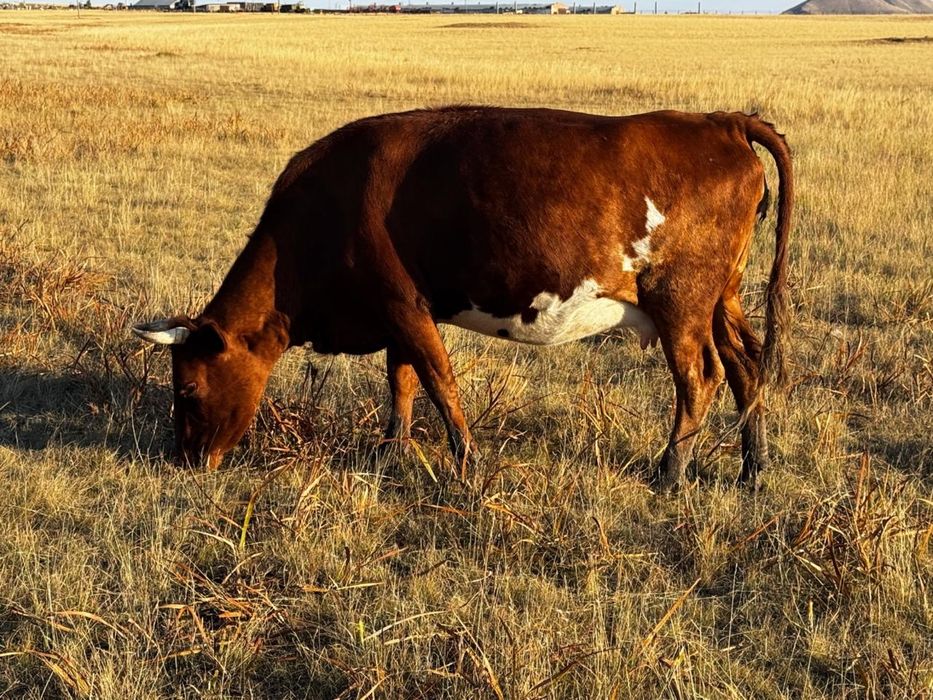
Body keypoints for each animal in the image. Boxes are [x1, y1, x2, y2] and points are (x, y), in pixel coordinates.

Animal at [133, 106, 793, 491]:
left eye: (187, 390)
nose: (186, 461)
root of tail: (721, 121)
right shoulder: (397, 312)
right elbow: (401, 381)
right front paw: (390, 451)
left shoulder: (402, 304)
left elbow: (438, 383)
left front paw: (468, 467)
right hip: (722, 298)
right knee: (746, 365)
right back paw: (754, 468)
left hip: (681, 300)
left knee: (700, 377)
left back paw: (671, 473)